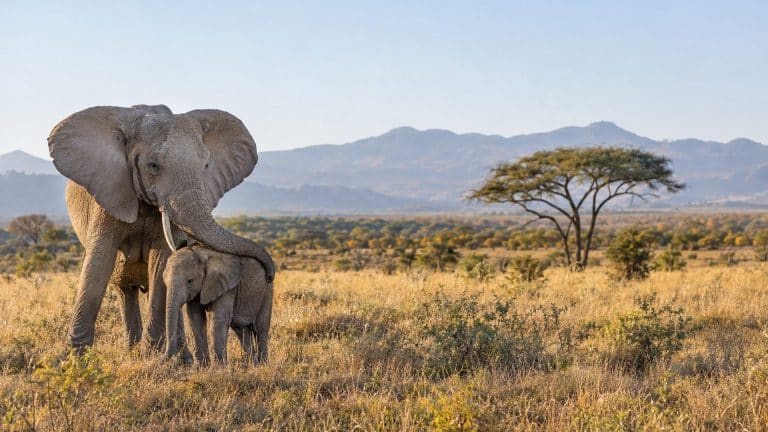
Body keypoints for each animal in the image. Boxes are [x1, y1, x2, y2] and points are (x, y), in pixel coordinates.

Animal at [48, 104, 276, 352]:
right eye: (153, 166)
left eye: (205, 166)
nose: (270, 274)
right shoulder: (110, 192)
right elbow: (99, 261)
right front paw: (74, 356)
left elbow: (160, 262)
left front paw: (151, 354)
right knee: (124, 288)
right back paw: (133, 348)